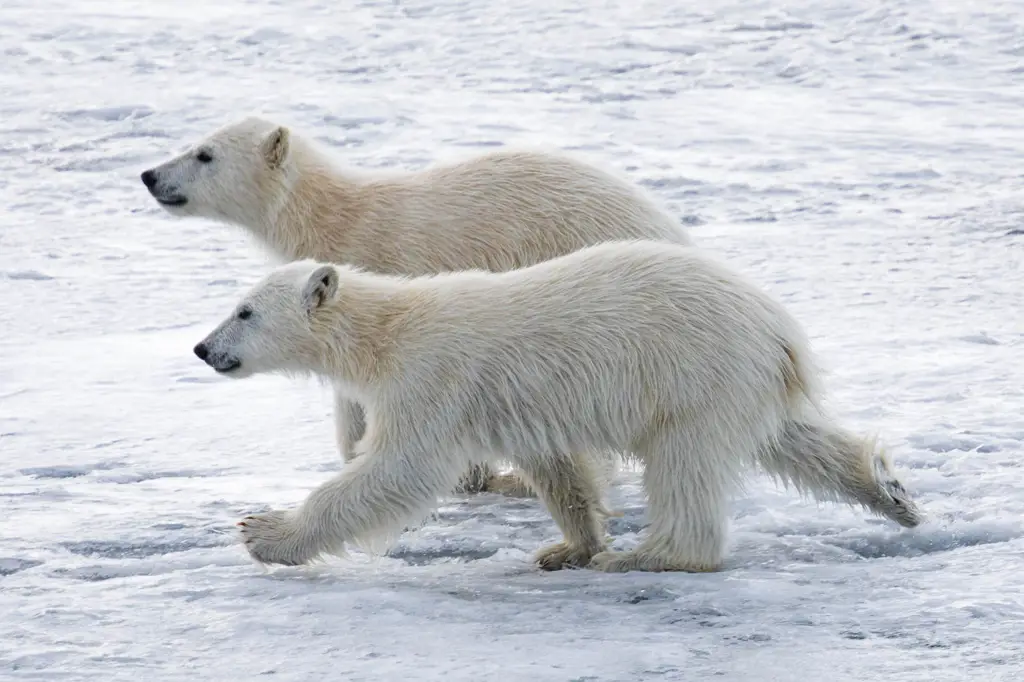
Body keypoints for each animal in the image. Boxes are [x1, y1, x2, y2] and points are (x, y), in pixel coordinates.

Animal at [193, 238, 929, 569]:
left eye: (244, 311)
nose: (202, 348)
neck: (387, 331)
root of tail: (781, 330)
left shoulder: (432, 378)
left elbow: (396, 470)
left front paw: (263, 532)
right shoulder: (506, 402)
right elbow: (557, 467)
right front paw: (569, 546)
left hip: (694, 375)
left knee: (685, 466)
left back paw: (648, 556)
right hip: (742, 382)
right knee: (794, 439)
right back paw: (891, 492)